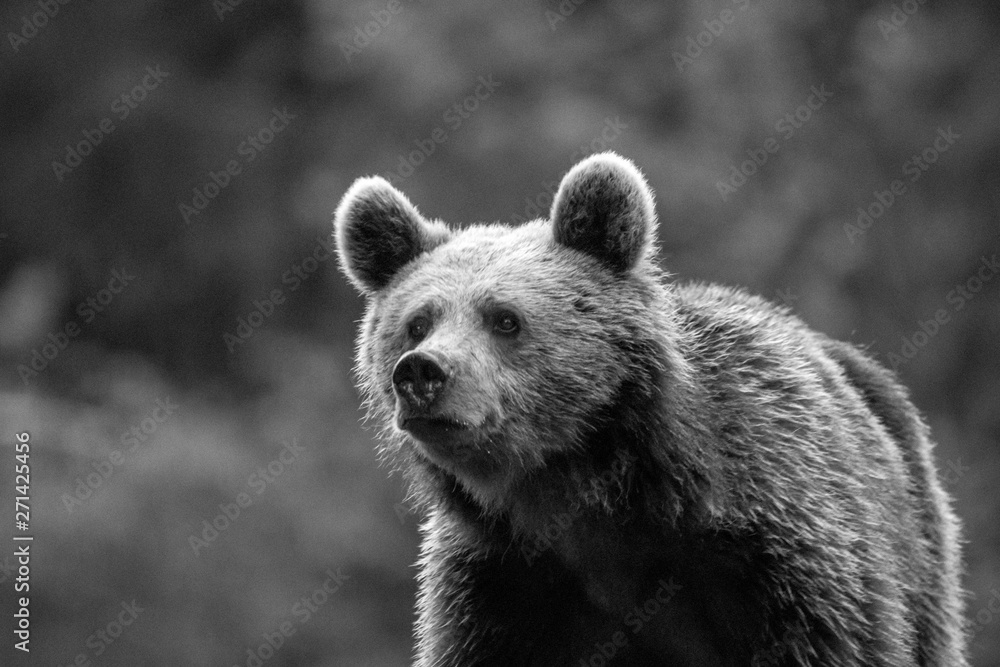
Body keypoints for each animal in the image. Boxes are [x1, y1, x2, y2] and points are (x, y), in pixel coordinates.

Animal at [333, 152, 968, 666]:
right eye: (418, 322)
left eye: (505, 318)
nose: (422, 372)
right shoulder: (501, 587)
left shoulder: (786, 553)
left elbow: (837, 636)